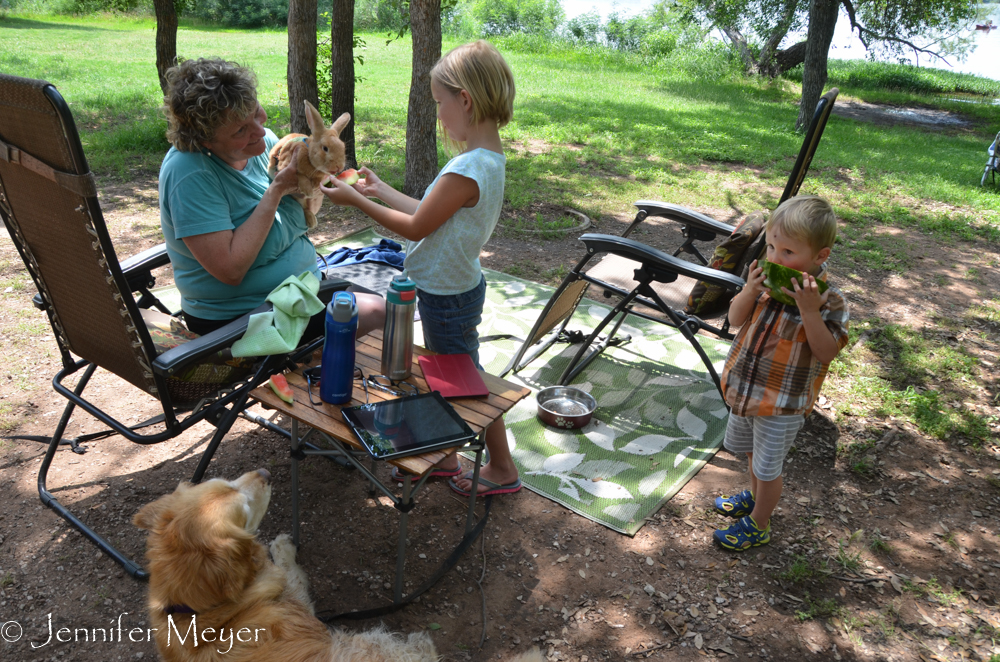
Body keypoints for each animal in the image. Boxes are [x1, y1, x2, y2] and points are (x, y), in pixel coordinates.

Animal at [270, 100, 352, 231]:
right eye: (325, 148)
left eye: (342, 147)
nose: (339, 166)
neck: (310, 159)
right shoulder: (285, 165)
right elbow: (299, 175)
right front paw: (308, 190)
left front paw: (315, 184)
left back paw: (312, 221)